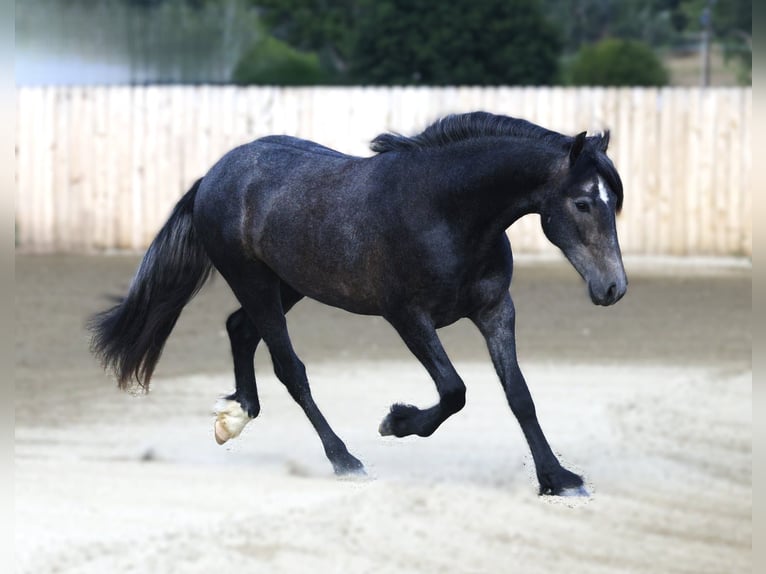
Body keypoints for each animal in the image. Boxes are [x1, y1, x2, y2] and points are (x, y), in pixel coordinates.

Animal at [89, 111, 627, 496]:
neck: (445, 210)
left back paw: (235, 418)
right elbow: (454, 390)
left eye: (614, 201)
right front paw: (397, 422)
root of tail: (214, 175)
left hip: (288, 284)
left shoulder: (496, 310)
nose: (613, 289)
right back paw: (344, 460)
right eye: (583, 203)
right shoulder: (406, 316)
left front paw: (558, 480)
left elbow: (519, 395)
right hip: (253, 280)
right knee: (289, 368)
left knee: (241, 329)